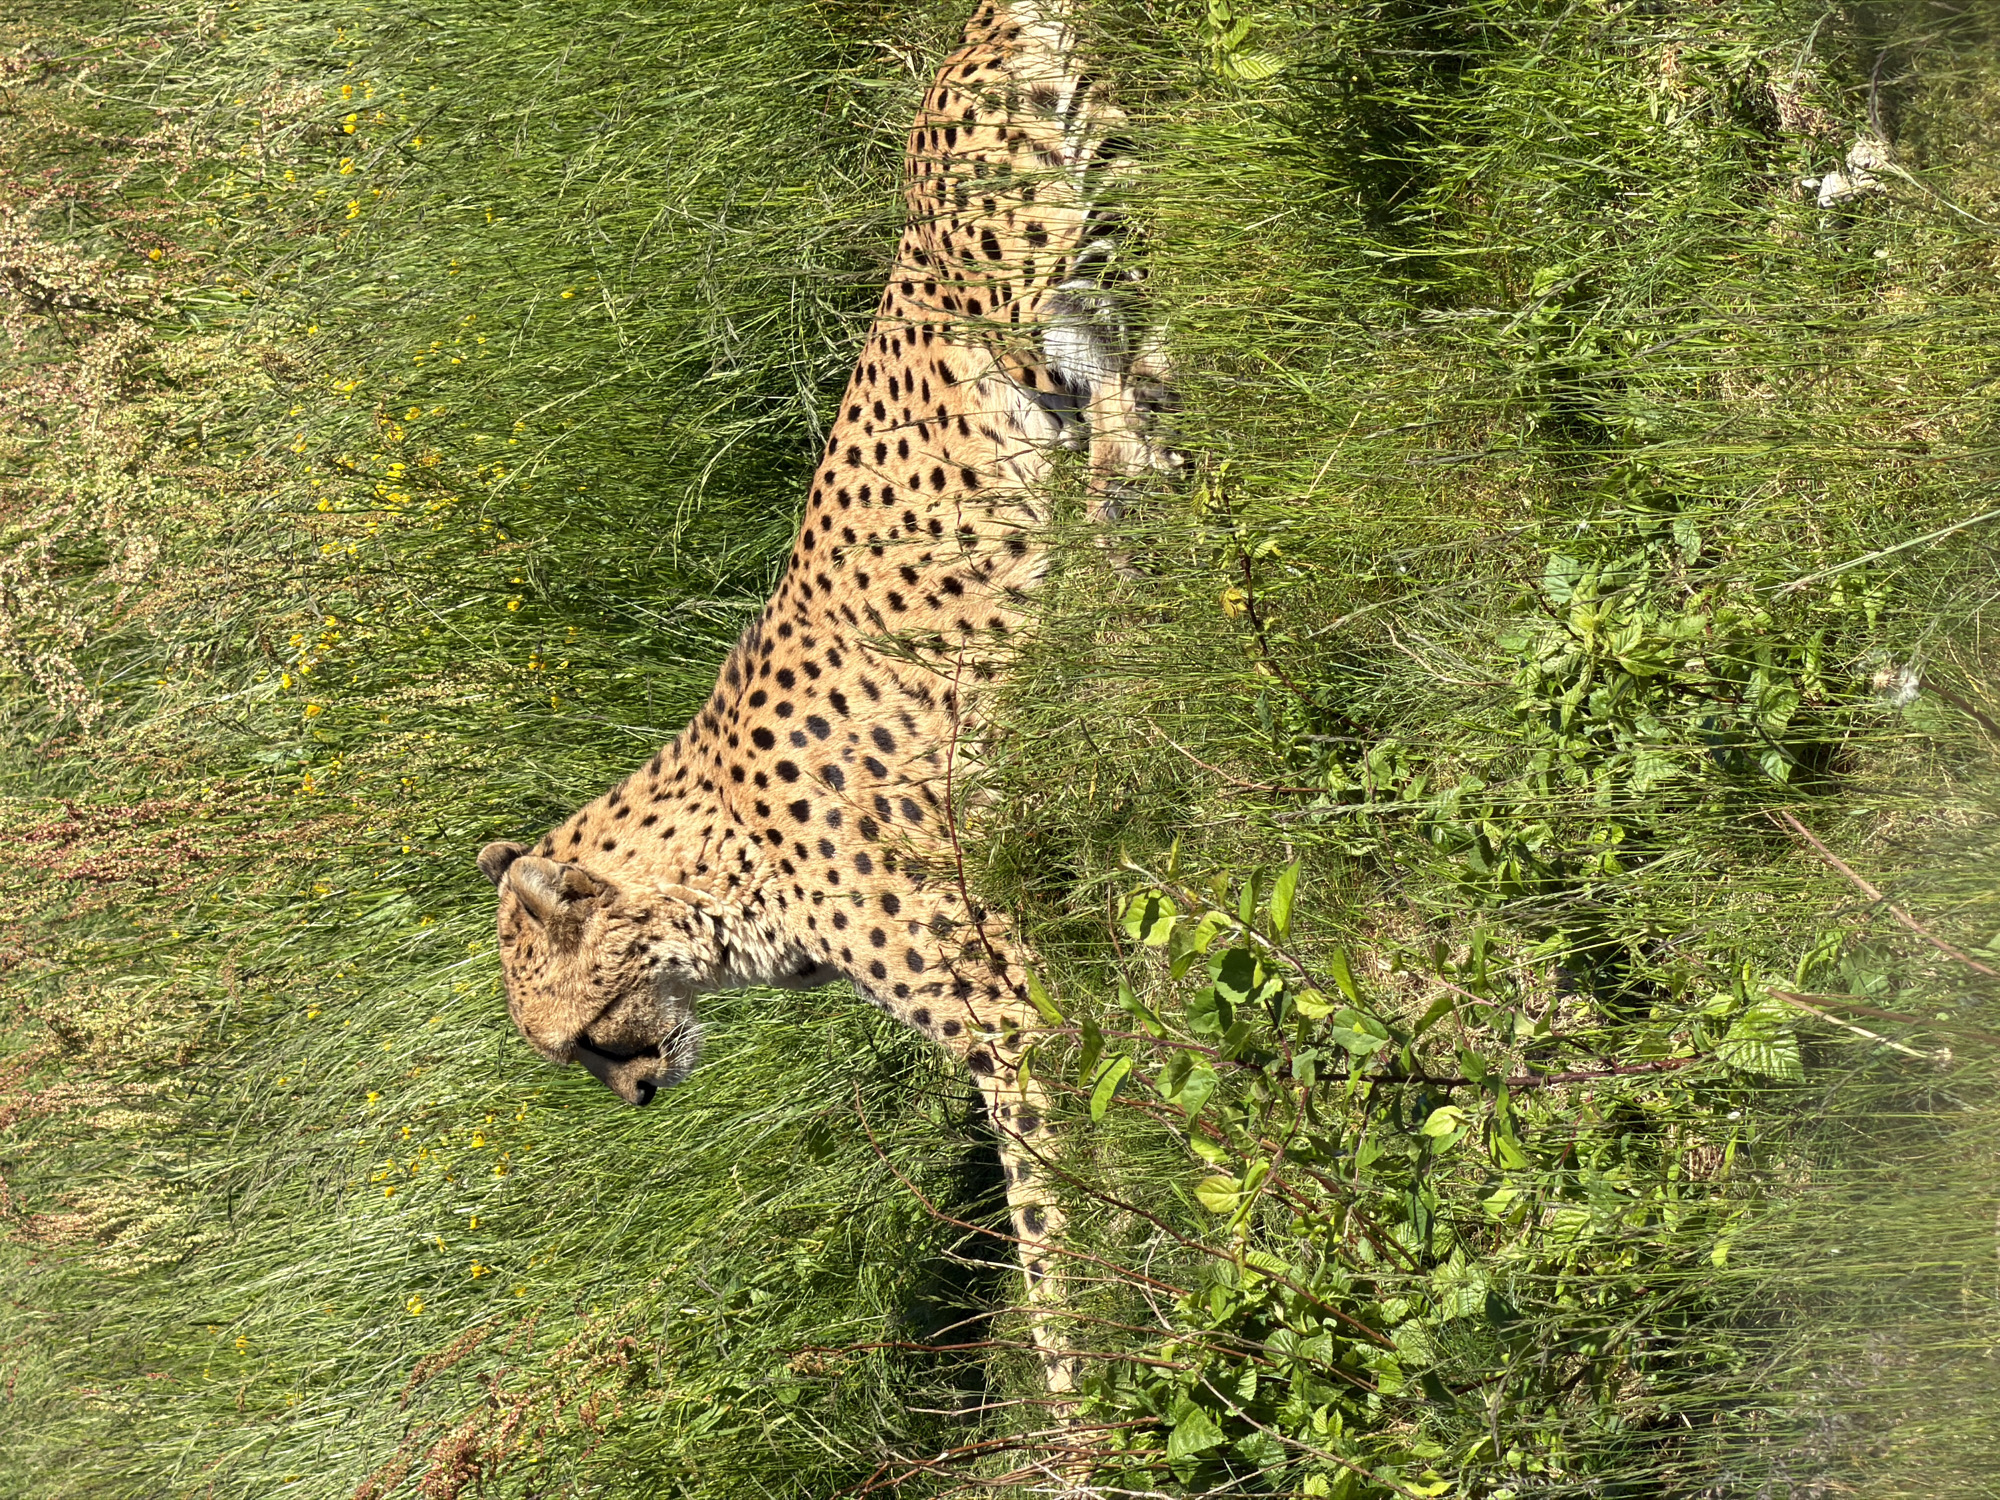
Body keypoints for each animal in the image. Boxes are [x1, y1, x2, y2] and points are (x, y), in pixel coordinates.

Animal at [476, 0, 1175, 1396]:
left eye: (579, 1039)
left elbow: (1049, 1212)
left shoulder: (1006, 1011)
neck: (706, 871)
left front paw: (1092, 1386)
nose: (637, 1097)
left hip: (1052, 273)